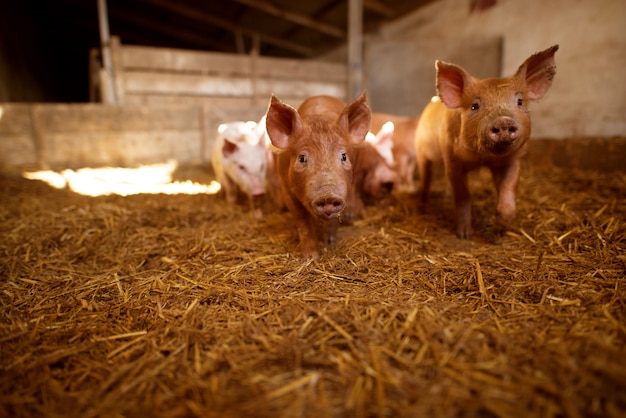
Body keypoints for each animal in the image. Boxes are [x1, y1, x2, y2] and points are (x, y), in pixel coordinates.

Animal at [264, 92, 370, 258]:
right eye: (302, 158)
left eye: (344, 156)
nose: (328, 196)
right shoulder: (286, 190)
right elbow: (302, 220)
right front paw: (311, 257)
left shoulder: (343, 192)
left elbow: (333, 220)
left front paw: (330, 245)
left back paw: (350, 217)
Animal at [414, 45, 556, 238]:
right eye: (475, 106)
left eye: (520, 101)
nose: (503, 120)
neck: (483, 159)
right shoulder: (452, 161)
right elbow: (462, 195)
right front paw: (465, 235)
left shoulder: (512, 160)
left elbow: (508, 188)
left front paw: (502, 227)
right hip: (420, 151)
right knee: (425, 177)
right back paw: (423, 203)